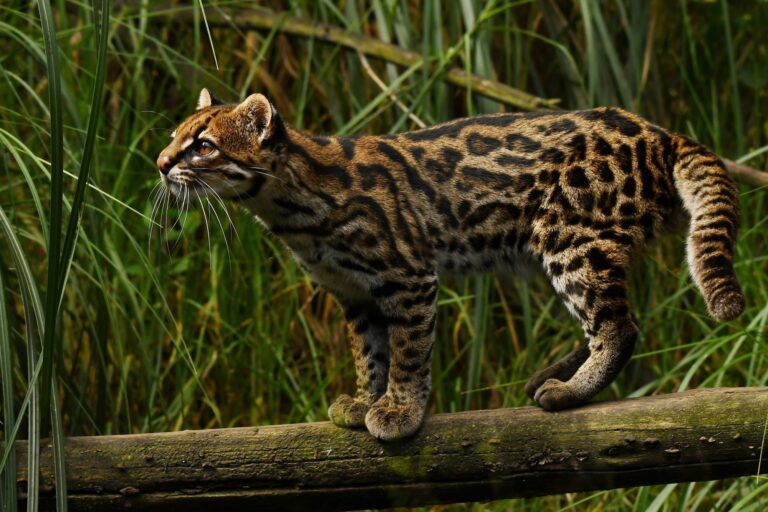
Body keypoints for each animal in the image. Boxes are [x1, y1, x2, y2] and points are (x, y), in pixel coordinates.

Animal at [158, 88, 744, 440]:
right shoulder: (354, 293)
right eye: (174, 137)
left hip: (570, 236)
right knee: (605, 319)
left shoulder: (408, 276)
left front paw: (399, 410)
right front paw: (365, 398)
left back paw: (571, 390)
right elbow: (369, 352)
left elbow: (408, 352)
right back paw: (559, 373)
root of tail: (658, 132)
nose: (161, 163)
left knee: (618, 325)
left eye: (203, 145)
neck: (288, 209)